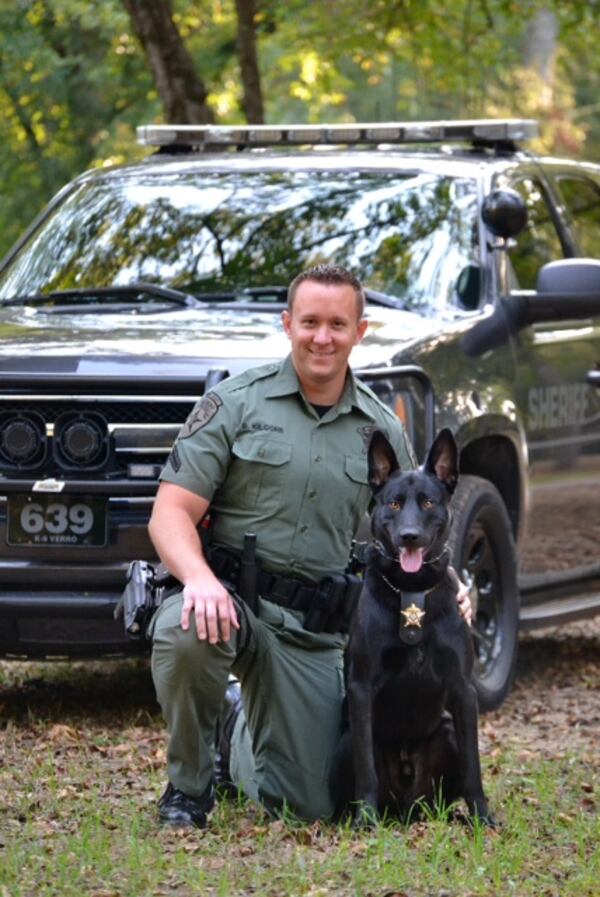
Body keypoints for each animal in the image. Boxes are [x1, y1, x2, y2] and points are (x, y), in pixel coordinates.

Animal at [330, 428, 494, 824]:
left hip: (446, 733)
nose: (409, 536)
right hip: (347, 741)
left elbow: (474, 766)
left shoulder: (462, 689)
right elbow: (366, 770)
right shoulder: (361, 688)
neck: (412, 589)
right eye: (393, 504)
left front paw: (483, 818)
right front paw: (365, 820)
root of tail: (405, 810)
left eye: (429, 503)